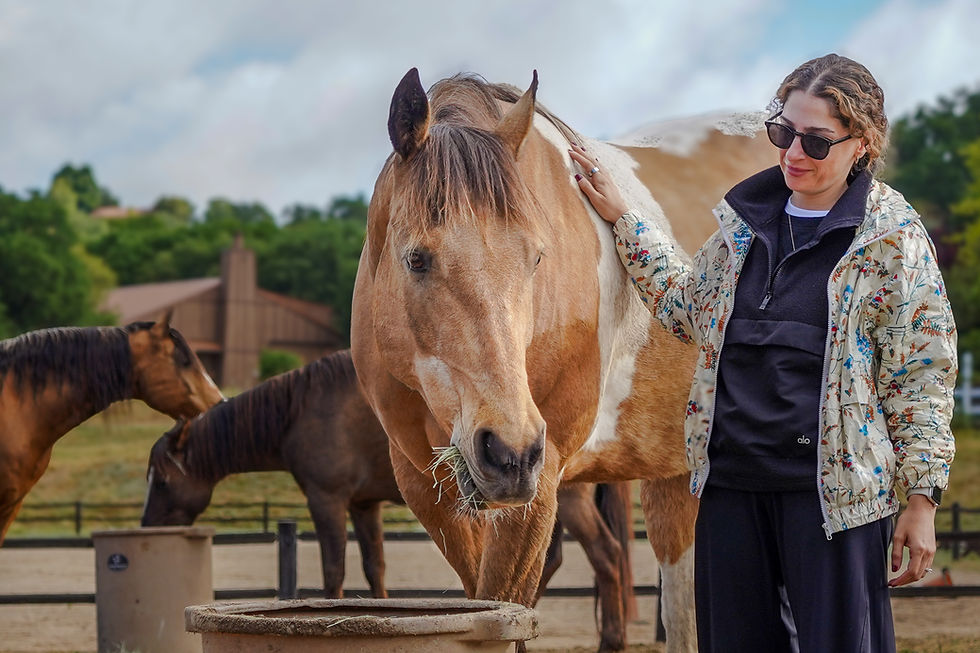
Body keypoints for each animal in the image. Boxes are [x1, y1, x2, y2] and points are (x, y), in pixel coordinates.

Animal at [141, 349, 637, 647]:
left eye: (161, 481)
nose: (147, 526)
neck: (301, 410)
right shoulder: (365, 506)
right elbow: (373, 566)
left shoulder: (327, 501)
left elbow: (335, 569)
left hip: (566, 503)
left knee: (606, 555)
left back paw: (610, 640)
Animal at [350, 68, 775, 652]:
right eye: (416, 259)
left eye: (536, 258)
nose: (508, 451)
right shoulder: (427, 487)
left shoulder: (540, 486)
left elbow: (503, 610)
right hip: (677, 471)